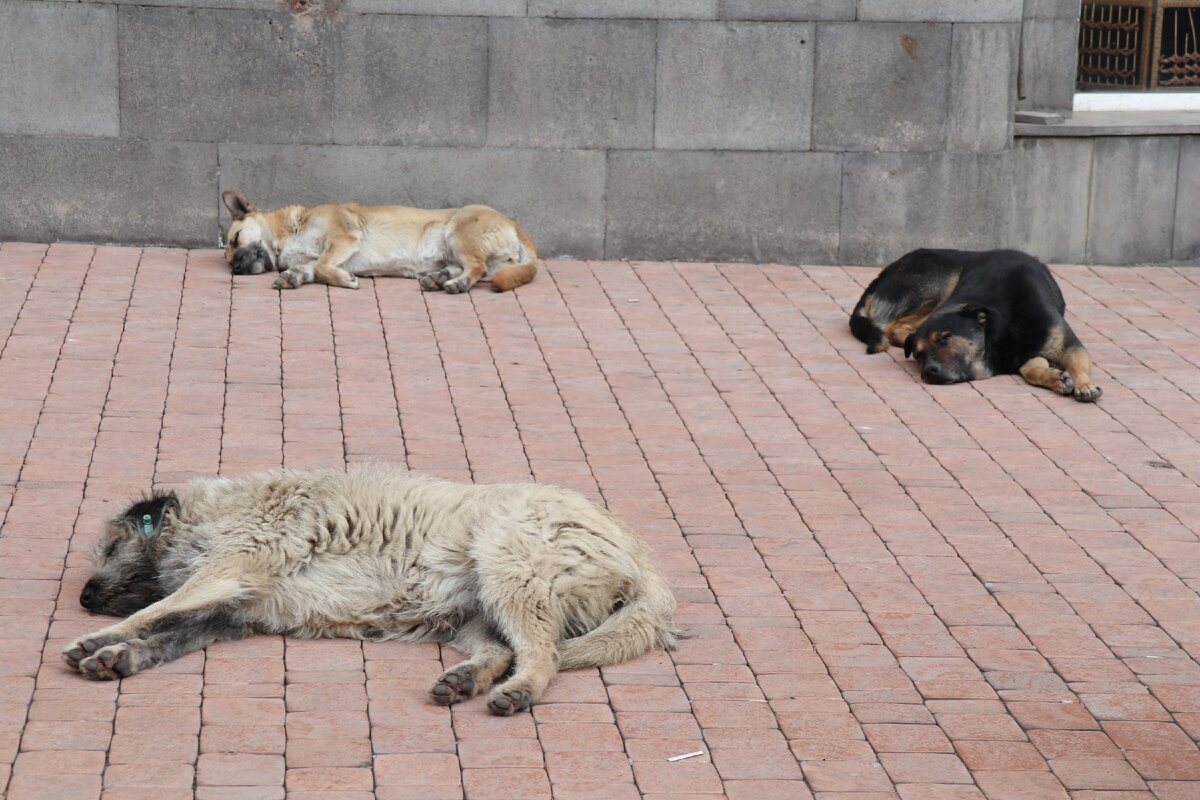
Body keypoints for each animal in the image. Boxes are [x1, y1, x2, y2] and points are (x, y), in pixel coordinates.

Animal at [65, 465, 681, 714]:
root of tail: (647, 564)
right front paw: (121, 656)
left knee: (543, 653)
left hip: (507, 566)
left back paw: (519, 691)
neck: (200, 518)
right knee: (502, 651)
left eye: (110, 549)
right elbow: (168, 632)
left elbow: (159, 609)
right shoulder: (230, 615)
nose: (83, 598)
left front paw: (100, 639)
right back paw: (467, 679)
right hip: (477, 611)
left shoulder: (231, 566)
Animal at [849, 248, 1099, 402]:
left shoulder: (1068, 346)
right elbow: (1031, 371)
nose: (928, 372)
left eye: (945, 338)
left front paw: (1080, 383)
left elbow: (1061, 366)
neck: (1005, 326)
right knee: (893, 327)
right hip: (941, 280)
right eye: (919, 354)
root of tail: (876, 281)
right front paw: (1059, 378)